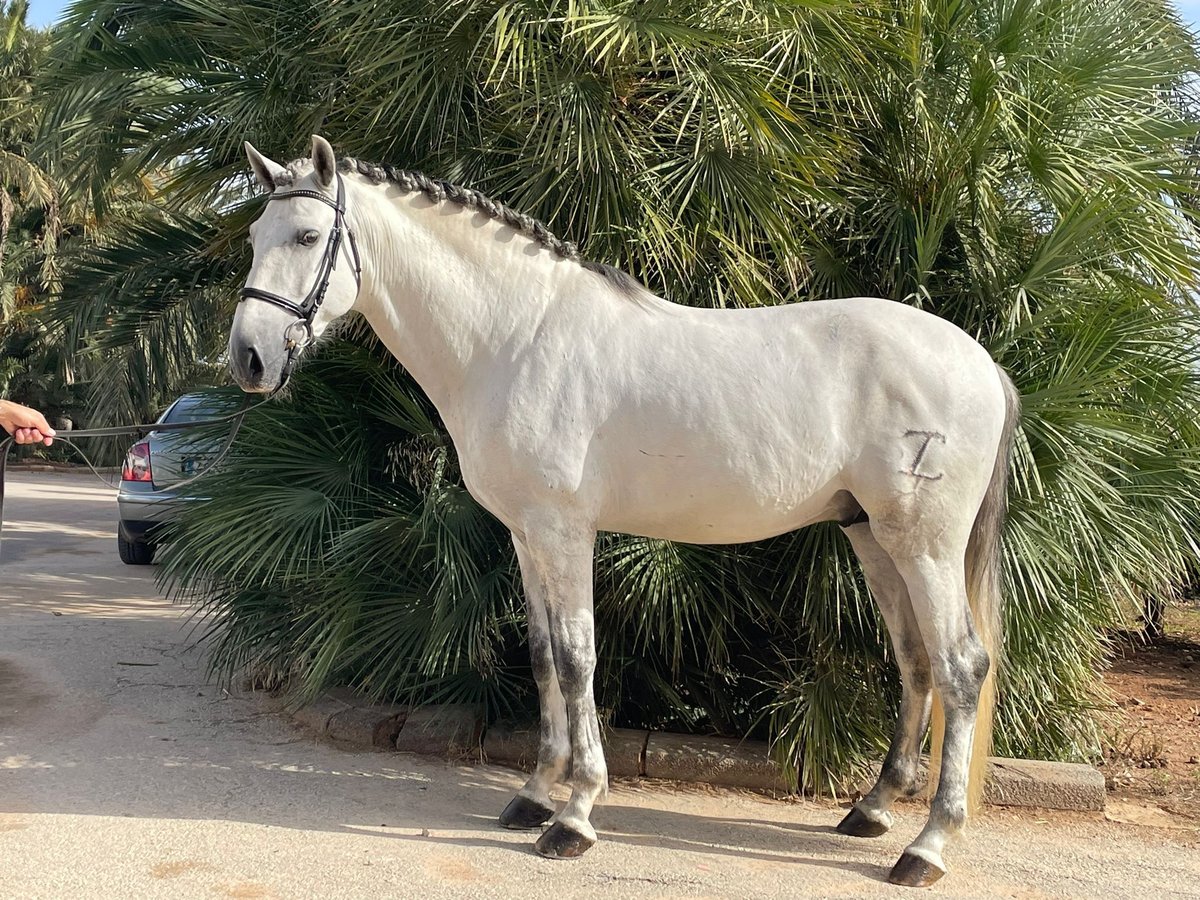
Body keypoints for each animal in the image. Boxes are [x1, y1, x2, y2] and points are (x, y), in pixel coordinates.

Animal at [229, 137, 1017, 892]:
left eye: (306, 236)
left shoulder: (564, 531)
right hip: (873, 538)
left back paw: (926, 847)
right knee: (914, 658)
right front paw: (535, 795)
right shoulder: (526, 535)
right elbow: (542, 656)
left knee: (962, 666)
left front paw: (575, 815)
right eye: (255, 235)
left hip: (925, 546)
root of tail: (980, 362)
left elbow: (578, 658)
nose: (248, 358)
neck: (516, 337)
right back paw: (873, 809)